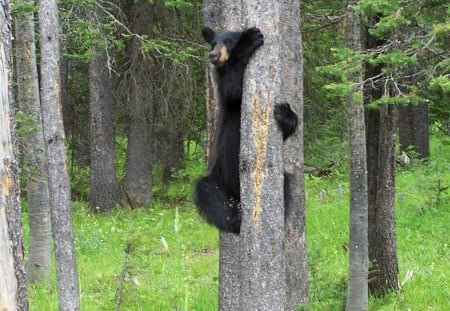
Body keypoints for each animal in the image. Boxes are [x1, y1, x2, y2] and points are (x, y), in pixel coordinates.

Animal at [194, 26, 298, 234]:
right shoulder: (226, 92)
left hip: (281, 179)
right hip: (218, 177)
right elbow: (232, 88)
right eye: (213, 43)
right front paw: (250, 38)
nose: (213, 55)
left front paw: (285, 113)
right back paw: (235, 219)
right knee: (208, 192)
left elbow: (285, 130)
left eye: (228, 42)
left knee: (286, 183)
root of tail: (237, 195)